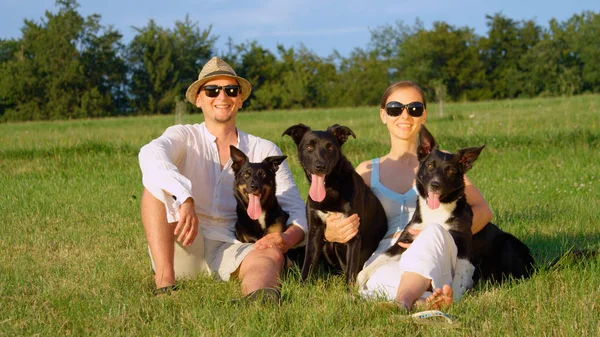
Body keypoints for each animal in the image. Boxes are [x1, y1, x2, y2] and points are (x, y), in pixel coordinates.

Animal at [282, 122, 386, 284]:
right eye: (309, 146)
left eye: (330, 147)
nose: (320, 166)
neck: (329, 189)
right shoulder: (314, 231)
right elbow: (308, 264)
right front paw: (302, 286)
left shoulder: (353, 234)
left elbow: (351, 271)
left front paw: (349, 291)